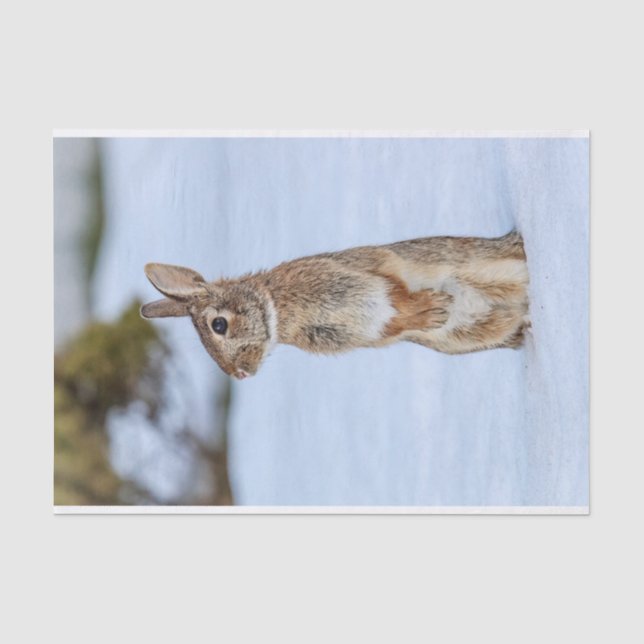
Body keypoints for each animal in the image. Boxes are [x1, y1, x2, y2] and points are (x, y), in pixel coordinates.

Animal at [141, 231, 529, 379]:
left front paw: (432, 307)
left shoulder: (356, 280)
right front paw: (434, 310)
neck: (277, 308)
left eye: (218, 325)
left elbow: (395, 293)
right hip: (467, 334)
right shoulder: (365, 330)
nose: (241, 375)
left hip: (488, 269)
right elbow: (394, 323)